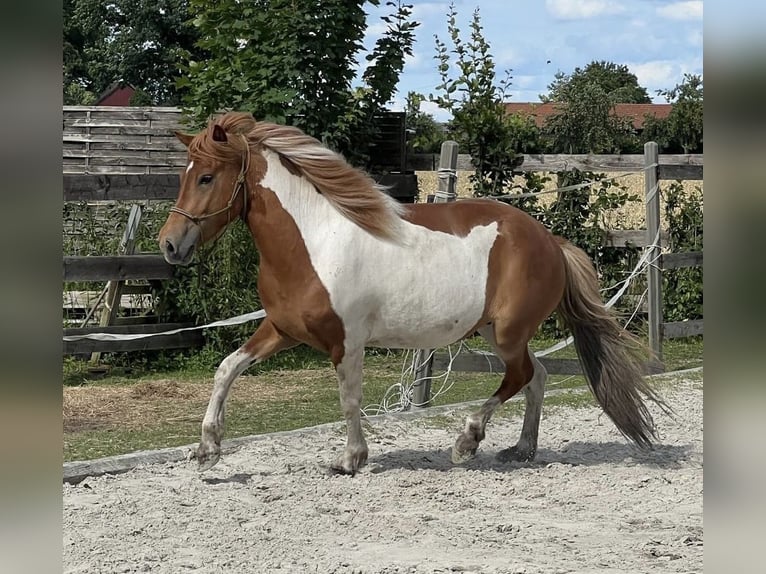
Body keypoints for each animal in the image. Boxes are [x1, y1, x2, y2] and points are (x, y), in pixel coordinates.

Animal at [158, 111, 667, 475]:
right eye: (184, 176)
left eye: (206, 177)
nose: (169, 245)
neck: (314, 241)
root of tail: (549, 240)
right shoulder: (281, 329)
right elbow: (227, 369)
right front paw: (207, 450)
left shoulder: (346, 341)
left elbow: (349, 399)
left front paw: (351, 459)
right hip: (496, 331)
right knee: (536, 376)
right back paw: (521, 449)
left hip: (507, 332)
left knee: (521, 376)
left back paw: (467, 442)